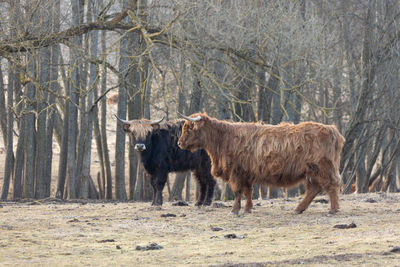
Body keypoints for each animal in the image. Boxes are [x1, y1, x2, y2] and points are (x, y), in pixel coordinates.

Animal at [177, 113, 346, 216]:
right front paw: (248, 209)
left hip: (323, 168)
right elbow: (248, 191)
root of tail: (331, 129)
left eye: (189, 129)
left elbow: (238, 192)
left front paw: (235, 210)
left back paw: (333, 209)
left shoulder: (236, 173)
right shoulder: (246, 173)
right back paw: (298, 209)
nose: (179, 143)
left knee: (331, 185)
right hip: (312, 171)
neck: (223, 139)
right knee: (314, 189)